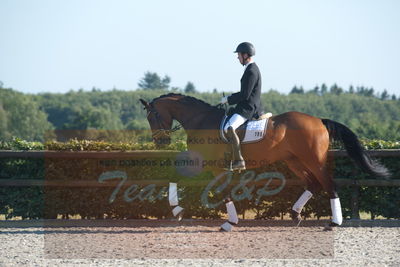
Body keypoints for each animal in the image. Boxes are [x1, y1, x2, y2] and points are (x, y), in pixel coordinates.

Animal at [139, 93, 390, 230]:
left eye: (152, 116)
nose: (161, 142)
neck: (201, 120)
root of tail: (318, 120)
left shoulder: (211, 166)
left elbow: (222, 192)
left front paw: (229, 222)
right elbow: (175, 176)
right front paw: (177, 209)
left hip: (312, 159)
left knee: (328, 184)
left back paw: (334, 222)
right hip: (294, 161)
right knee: (312, 183)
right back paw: (295, 214)